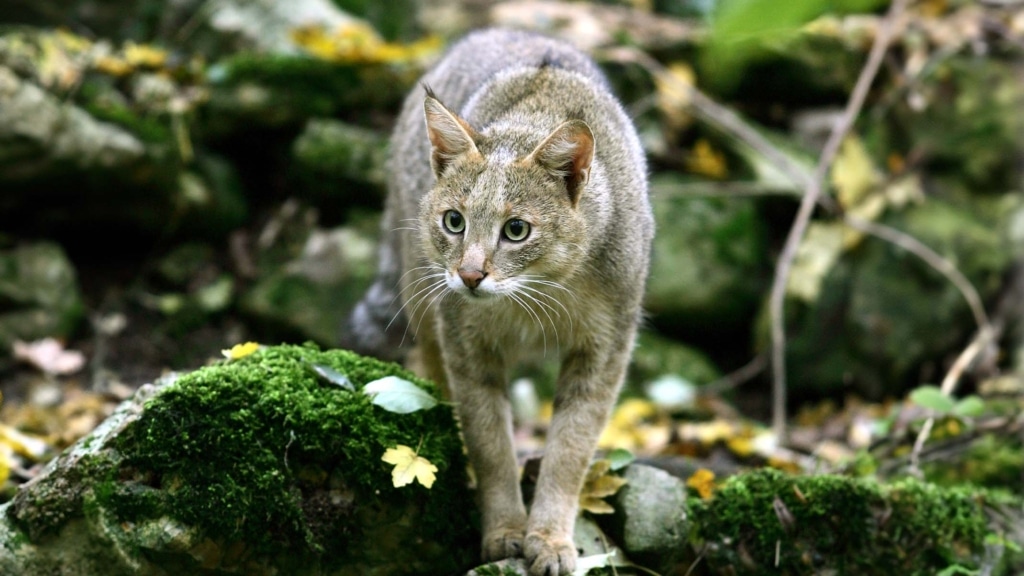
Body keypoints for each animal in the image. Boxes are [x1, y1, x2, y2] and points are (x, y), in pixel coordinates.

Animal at [350, 28, 655, 573]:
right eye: (454, 221)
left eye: (516, 230)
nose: (470, 275)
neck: (540, 291)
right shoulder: (465, 343)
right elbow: (489, 441)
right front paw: (506, 529)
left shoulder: (606, 347)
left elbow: (571, 447)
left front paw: (551, 537)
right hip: (421, 295)